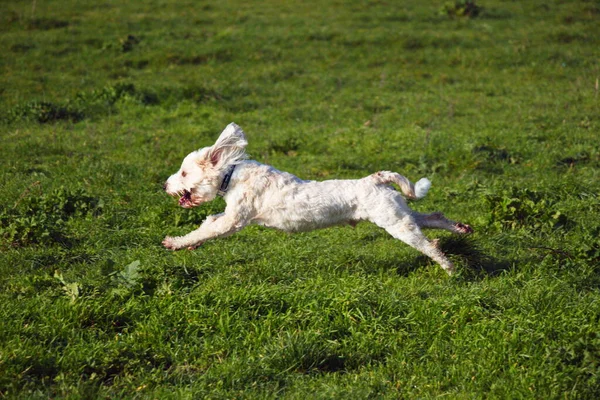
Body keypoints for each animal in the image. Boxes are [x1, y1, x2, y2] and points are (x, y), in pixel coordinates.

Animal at [164, 122, 474, 276]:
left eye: (183, 172)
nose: (165, 184)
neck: (232, 174)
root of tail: (374, 179)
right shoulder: (230, 216)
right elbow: (207, 224)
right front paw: (188, 245)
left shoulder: (234, 219)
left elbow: (209, 228)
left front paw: (174, 243)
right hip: (399, 212)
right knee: (433, 217)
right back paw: (461, 229)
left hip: (395, 222)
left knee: (428, 243)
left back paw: (449, 268)